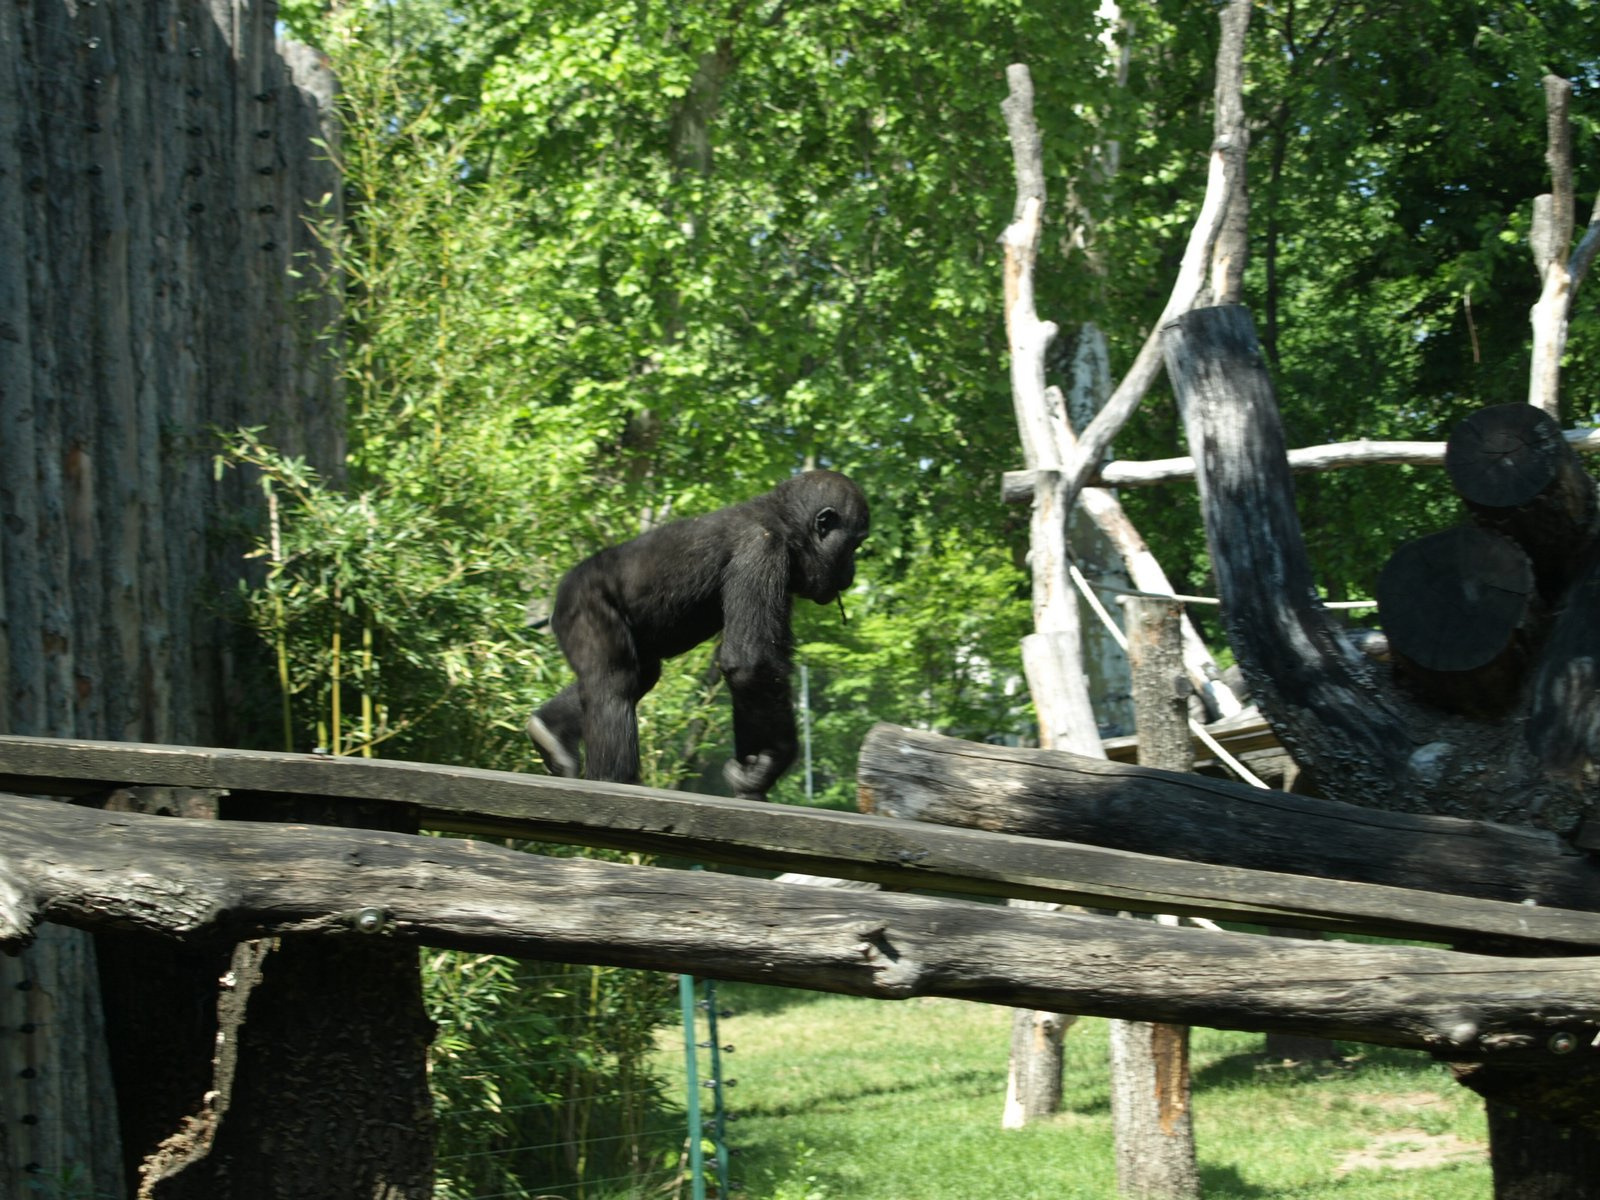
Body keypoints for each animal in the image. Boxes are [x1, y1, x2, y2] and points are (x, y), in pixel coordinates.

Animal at [531, 470, 870, 800]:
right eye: (854, 546)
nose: (852, 573)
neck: (785, 524)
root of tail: (561, 592)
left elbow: (759, 666)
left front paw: (754, 776)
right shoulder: (761, 550)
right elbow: (750, 662)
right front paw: (774, 758)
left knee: (639, 675)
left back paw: (551, 734)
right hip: (582, 603)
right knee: (614, 680)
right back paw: (614, 780)